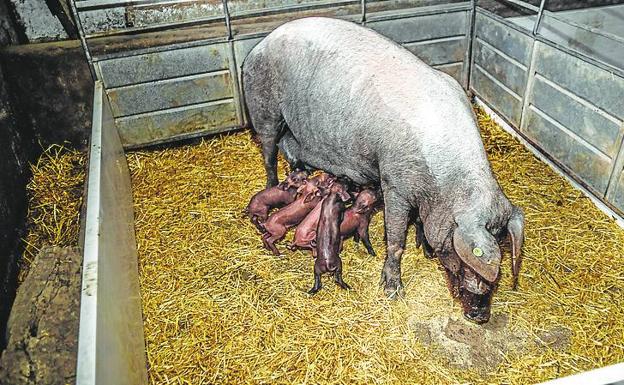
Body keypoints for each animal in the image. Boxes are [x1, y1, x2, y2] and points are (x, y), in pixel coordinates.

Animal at [241, 16, 524, 320]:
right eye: (464, 255)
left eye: (502, 243)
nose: (480, 316)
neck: (441, 189)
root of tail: (262, 42)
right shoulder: (394, 183)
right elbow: (396, 240)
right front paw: (392, 291)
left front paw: (424, 251)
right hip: (264, 110)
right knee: (269, 154)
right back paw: (272, 185)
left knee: (292, 153)